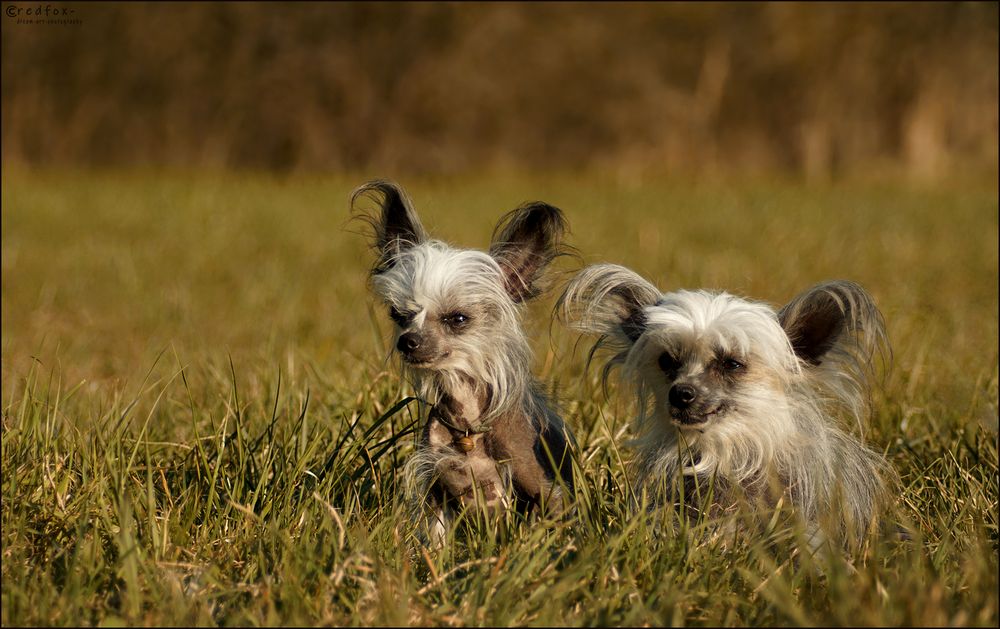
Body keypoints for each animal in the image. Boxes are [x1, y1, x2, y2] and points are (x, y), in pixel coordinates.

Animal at [352, 179, 576, 544]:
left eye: (457, 319)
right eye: (399, 315)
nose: (407, 341)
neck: (468, 425)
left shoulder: (542, 489)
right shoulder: (435, 487)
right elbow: (436, 540)